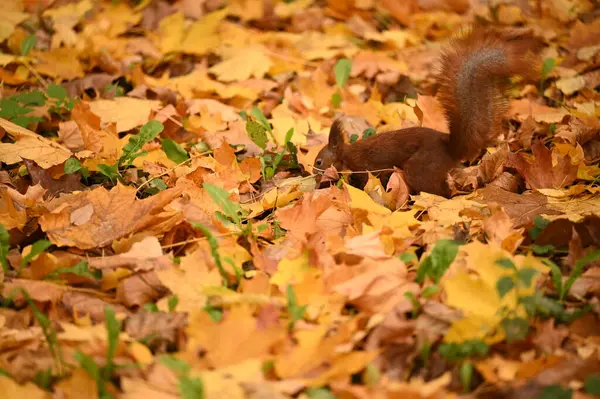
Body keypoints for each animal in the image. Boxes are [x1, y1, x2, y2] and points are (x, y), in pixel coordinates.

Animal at [314, 27, 544, 198]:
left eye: (318, 162)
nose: (315, 178)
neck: (346, 155)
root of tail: (450, 150)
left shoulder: (363, 168)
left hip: (421, 168)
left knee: (441, 191)